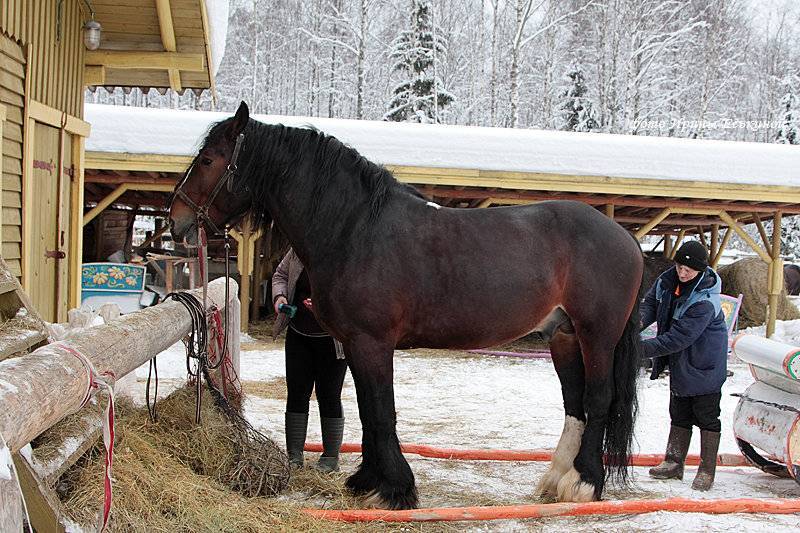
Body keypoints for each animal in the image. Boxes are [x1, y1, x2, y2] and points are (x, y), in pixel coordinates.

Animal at [169, 103, 644, 508]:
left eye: (208, 159)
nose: (176, 222)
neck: (355, 229)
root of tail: (626, 238)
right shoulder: (354, 345)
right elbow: (366, 410)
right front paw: (367, 481)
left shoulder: (372, 342)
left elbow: (382, 411)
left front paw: (394, 489)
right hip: (563, 335)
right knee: (575, 404)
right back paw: (555, 481)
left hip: (596, 334)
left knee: (599, 399)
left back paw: (585, 483)